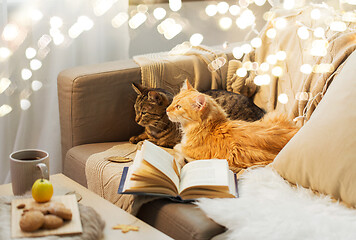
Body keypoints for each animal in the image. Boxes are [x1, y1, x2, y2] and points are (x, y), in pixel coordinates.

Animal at [128, 83, 264, 148]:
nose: (136, 120)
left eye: (144, 112)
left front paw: (146, 141)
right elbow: (145, 135)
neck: (155, 127)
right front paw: (136, 137)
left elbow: (160, 141)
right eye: (135, 110)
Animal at [165, 80, 298, 172]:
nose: (166, 110)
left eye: (178, 107)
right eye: (173, 101)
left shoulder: (192, 153)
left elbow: (178, 147)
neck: (212, 126)